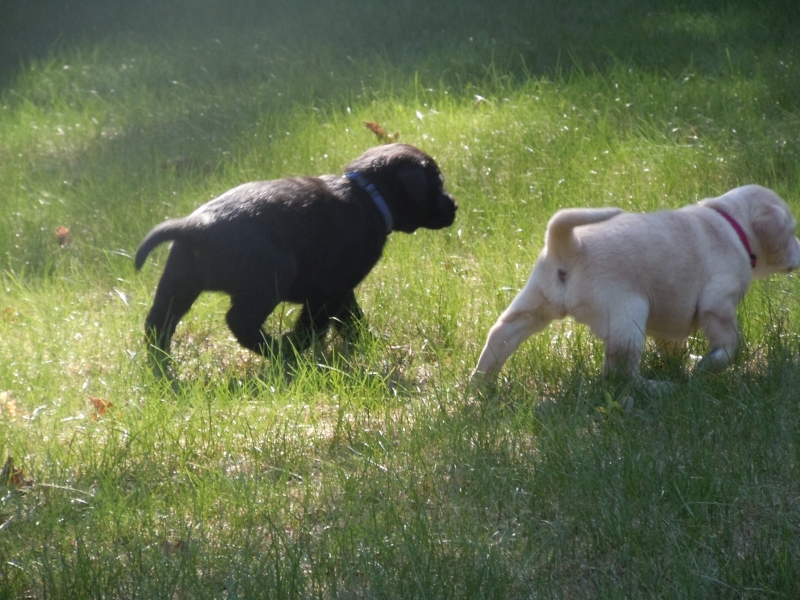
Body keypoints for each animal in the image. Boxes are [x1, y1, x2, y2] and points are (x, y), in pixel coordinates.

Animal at [139, 143, 456, 364]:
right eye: (437, 184)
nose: (454, 205)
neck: (367, 195)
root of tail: (195, 226)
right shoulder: (328, 290)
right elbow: (314, 324)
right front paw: (297, 346)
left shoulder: (341, 291)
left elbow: (351, 319)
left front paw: (366, 343)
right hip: (272, 276)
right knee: (239, 320)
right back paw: (277, 350)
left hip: (178, 284)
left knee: (158, 324)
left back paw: (161, 366)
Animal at [472, 183, 800, 382]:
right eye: (792, 230)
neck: (732, 224)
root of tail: (570, 246)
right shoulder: (718, 304)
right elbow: (731, 345)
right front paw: (709, 365)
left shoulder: (672, 319)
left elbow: (673, 344)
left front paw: (685, 364)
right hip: (627, 319)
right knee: (620, 376)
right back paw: (655, 388)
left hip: (533, 304)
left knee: (500, 335)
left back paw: (481, 386)